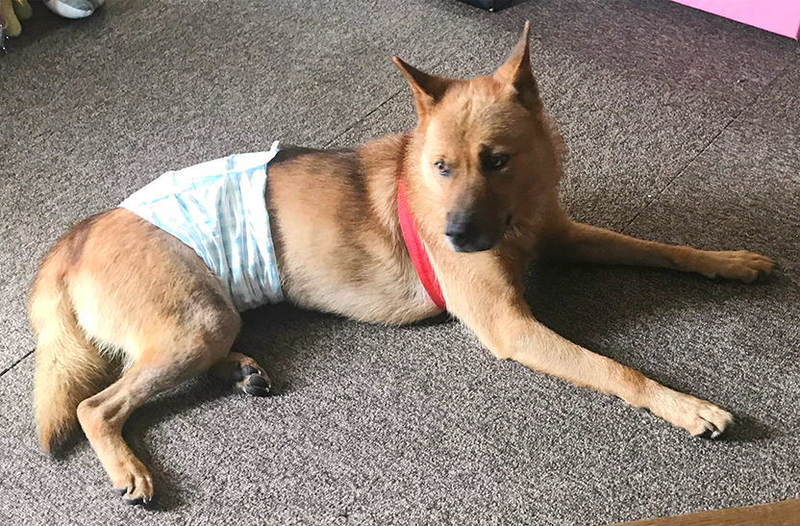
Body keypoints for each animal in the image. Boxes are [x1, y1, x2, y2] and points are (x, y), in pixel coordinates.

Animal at [29, 23, 775, 505]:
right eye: (441, 166)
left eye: (496, 160)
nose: (456, 236)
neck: (516, 219)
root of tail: (76, 235)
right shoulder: (511, 326)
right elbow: (616, 368)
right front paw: (687, 406)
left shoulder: (566, 236)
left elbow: (657, 247)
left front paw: (727, 259)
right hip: (197, 319)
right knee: (98, 404)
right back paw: (128, 466)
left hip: (203, 322)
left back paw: (241, 371)